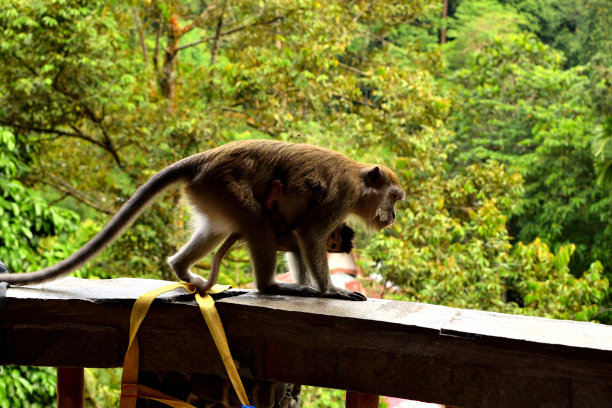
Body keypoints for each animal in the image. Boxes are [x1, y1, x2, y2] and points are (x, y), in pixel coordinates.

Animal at [1, 139, 406, 302]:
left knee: (219, 229)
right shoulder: (341, 197)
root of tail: (205, 158)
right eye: (395, 198)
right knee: (257, 225)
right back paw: (270, 286)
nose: (392, 216)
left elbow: (296, 233)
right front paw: (330, 290)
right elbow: (308, 232)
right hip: (223, 185)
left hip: (210, 193)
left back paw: (183, 270)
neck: (358, 181)